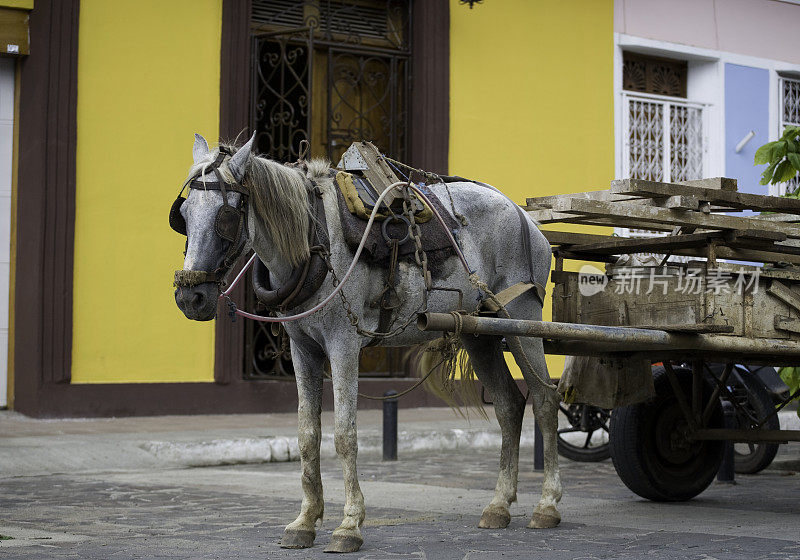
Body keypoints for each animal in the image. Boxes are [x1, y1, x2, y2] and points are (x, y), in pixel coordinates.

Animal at [173, 133, 564, 552]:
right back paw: (499, 505)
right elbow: (307, 435)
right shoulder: (302, 349)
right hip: (480, 333)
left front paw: (349, 525)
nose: (189, 298)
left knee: (544, 399)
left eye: (226, 216)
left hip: (521, 318)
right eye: (184, 215)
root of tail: (525, 217)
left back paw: (547, 505)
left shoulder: (343, 345)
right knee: (509, 405)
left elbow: (345, 435)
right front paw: (304, 522)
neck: (315, 242)